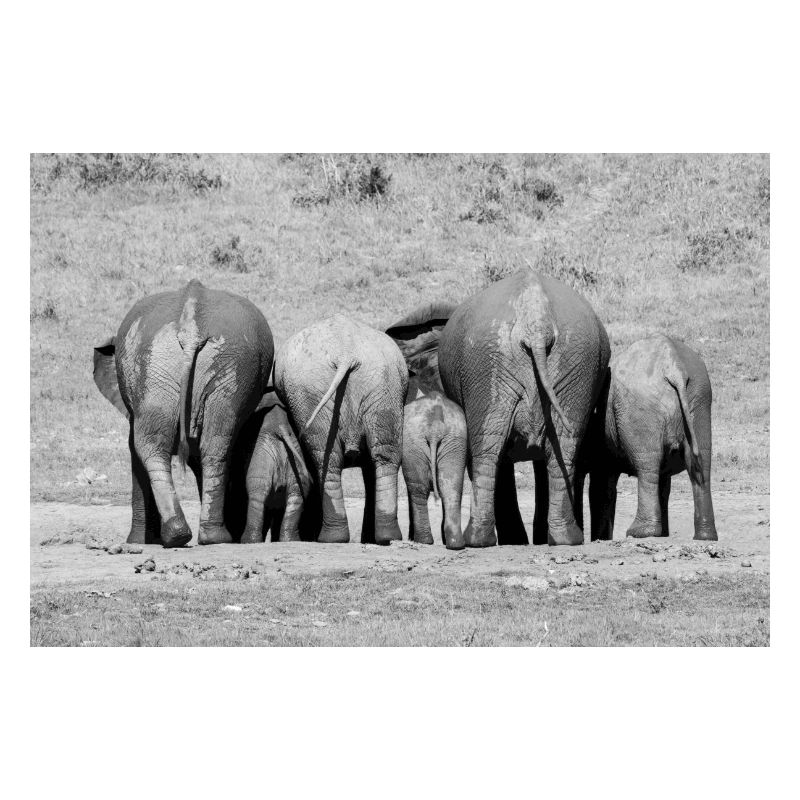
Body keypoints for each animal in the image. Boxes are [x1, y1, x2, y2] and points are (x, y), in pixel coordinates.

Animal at [93, 279, 274, 547]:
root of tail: (191, 324)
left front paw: (139, 541)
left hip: (215, 363)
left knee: (166, 444)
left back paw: (192, 535)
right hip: (180, 363)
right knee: (210, 443)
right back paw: (197, 536)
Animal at [224, 394, 321, 543]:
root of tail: (280, 427)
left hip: (262, 455)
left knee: (257, 494)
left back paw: (248, 541)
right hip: (293, 456)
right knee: (296, 494)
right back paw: (290, 540)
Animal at [274, 314, 408, 545]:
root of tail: (346, 351)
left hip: (313, 391)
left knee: (326, 458)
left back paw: (331, 538)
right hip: (382, 384)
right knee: (384, 454)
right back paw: (386, 536)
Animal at [401, 391, 467, 550]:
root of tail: (435, 427)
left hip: (413, 442)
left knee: (418, 489)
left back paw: (422, 540)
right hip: (454, 440)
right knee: (451, 486)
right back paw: (456, 544)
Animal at [585, 335, 718, 541]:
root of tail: (675, 368)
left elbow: (602, 482)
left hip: (641, 408)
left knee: (647, 464)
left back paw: (639, 532)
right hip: (700, 398)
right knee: (700, 463)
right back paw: (705, 536)